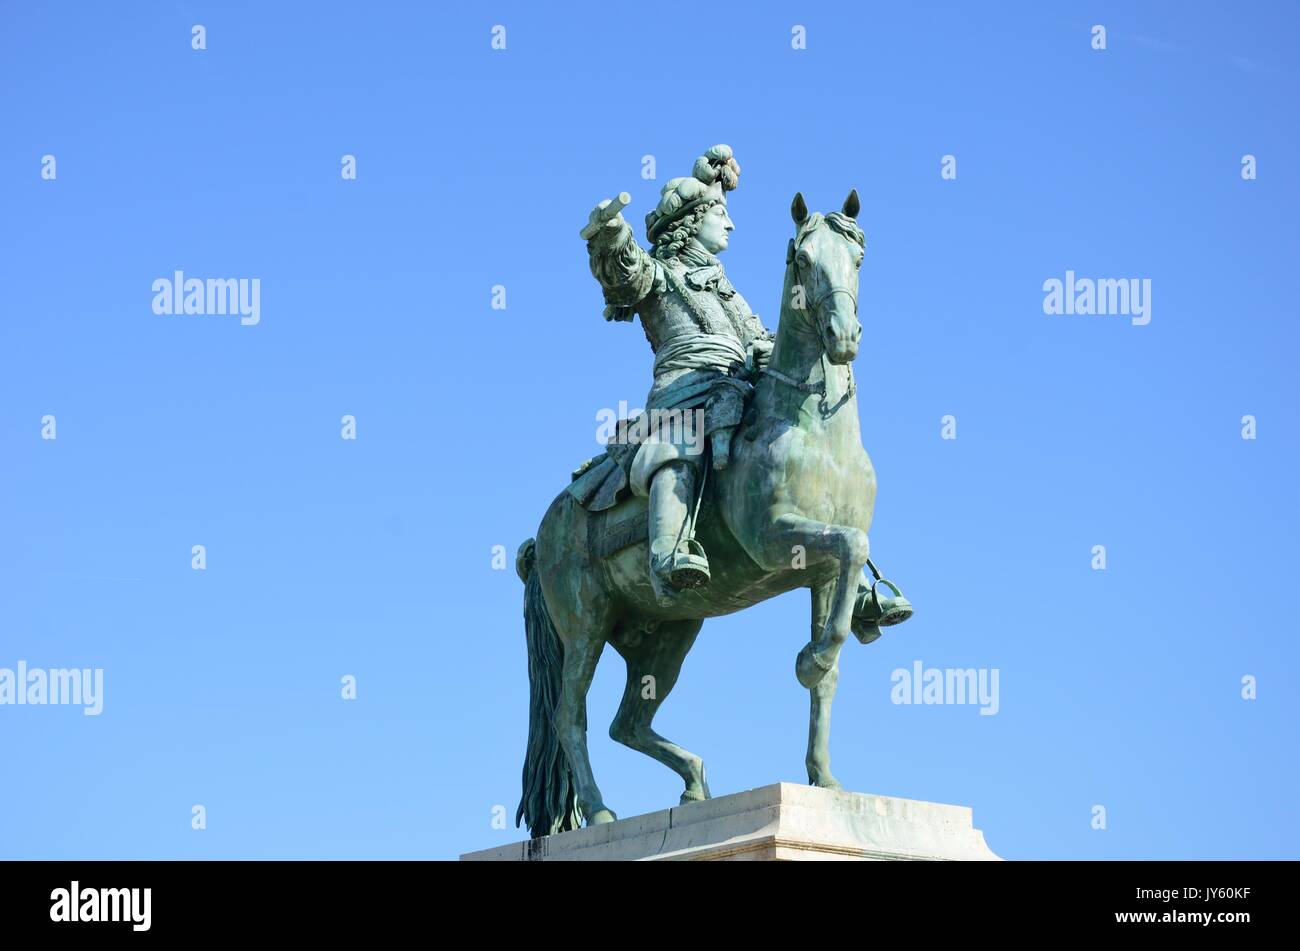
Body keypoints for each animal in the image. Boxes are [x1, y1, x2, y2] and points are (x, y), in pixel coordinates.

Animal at [506, 189, 904, 836]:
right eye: (803, 258)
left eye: (858, 258)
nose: (842, 335)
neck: (814, 429)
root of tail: (542, 535)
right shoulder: (779, 542)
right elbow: (851, 547)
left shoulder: (822, 575)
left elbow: (834, 653)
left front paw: (824, 777)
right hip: (586, 625)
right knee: (571, 715)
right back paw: (602, 810)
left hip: (667, 634)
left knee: (627, 722)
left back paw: (694, 783)